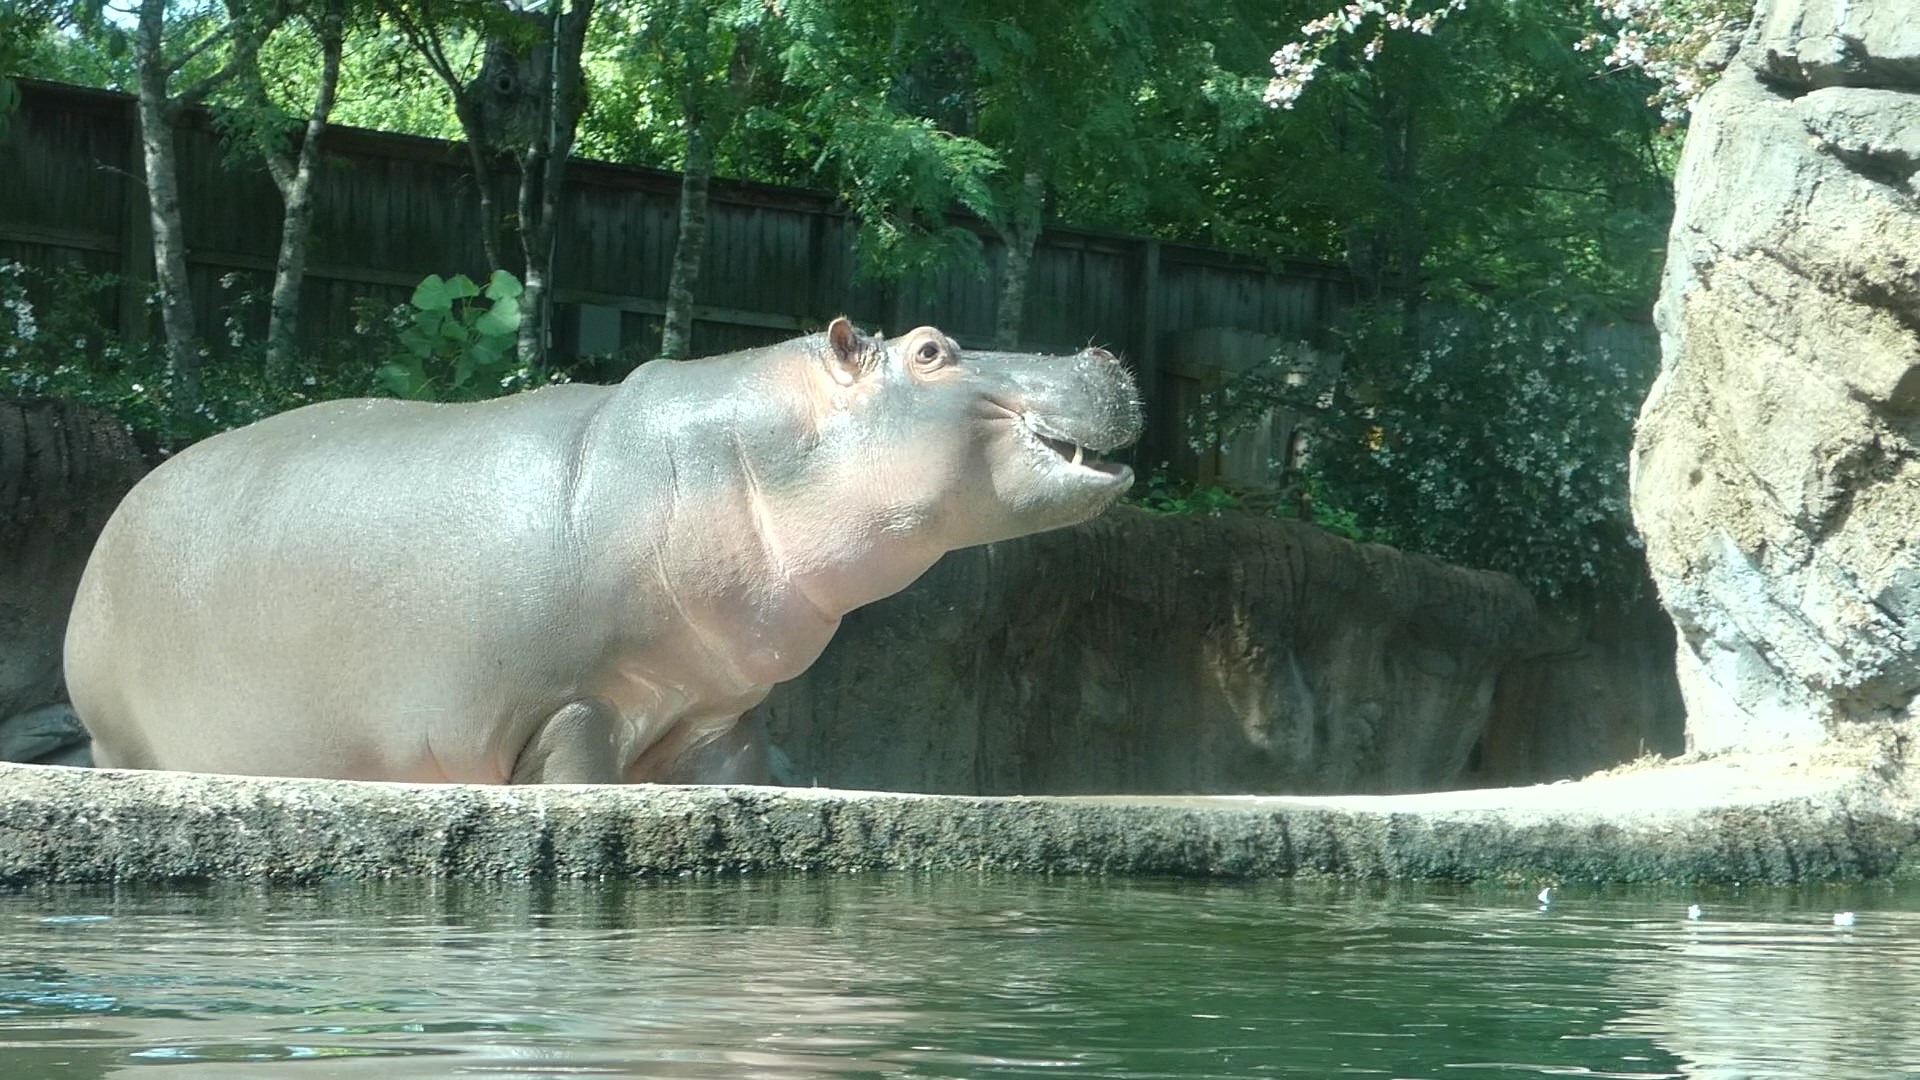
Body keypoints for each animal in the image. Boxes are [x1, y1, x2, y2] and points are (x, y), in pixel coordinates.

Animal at [63, 318, 1141, 785]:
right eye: (929, 350)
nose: (1102, 353)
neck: (750, 452)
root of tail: (118, 512)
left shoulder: (714, 711)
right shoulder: (567, 706)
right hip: (118, 732)